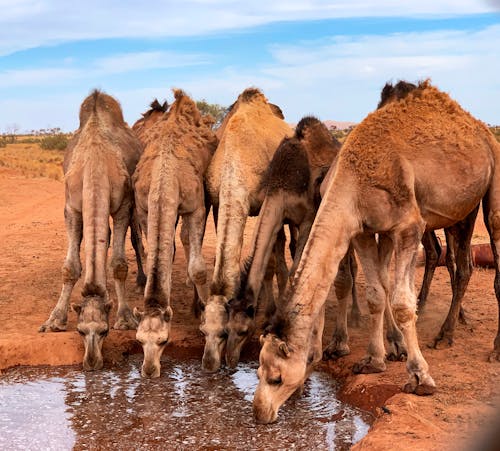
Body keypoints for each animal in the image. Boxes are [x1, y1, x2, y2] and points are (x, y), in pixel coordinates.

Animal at [40, 91, 144, 370]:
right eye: (80, 331)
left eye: (105, 331)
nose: (92, 362)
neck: (96, 163)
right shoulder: (72, 207)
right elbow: (70, 267)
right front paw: (54, 320)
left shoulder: (124, 204)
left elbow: (119, 264)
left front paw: (126, 318)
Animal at [132, 88, 216, 378]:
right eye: (138, 341)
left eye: (164, 341)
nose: (148, 370)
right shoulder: (145, 209)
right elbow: (160, 253)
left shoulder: (195, 207)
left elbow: (198, 268)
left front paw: (205, 311)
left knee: (190, 241)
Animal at [200, 86, 292, 372]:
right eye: (202, 331)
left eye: (225, 333)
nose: (210, 364)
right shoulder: (219, 202)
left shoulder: (266, 202)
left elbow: (270, 261)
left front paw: (269, 311)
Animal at [227, 118, 364, 370]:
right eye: (226, 328)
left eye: (242, 330)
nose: (230, 359)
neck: (283, 183)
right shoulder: (282, 215)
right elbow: (284, 268)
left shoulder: (309, 216)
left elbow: (296, 271)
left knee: (348, 268)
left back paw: (353, 323)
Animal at [254, 80, 500, 424]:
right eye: (258, 371)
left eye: (276, 377)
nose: (259, 412)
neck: (353, 179)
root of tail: (478, 127)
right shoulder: (362, 231)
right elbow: (375, 295)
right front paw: (373, 360)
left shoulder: (408, 226)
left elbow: (402, 303)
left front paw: (420, 377)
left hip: (491, 183)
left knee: (482, 251)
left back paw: (479, 344)